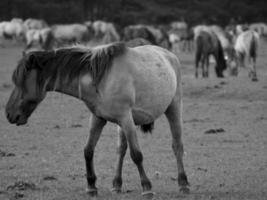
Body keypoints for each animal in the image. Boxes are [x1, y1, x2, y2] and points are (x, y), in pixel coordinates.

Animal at [5, 42, 191, 198]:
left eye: (21, 82)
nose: (8, 114)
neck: (101, 80)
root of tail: (169, 55)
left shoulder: (126, 119)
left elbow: (136, 154)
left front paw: (147, 188)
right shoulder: (98, 118)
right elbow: (88, 150)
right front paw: (91, 186)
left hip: (173, 108)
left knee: (177, 146)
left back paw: (183, 183)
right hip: (122, 125)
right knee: (121, 150)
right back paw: (116, 184)